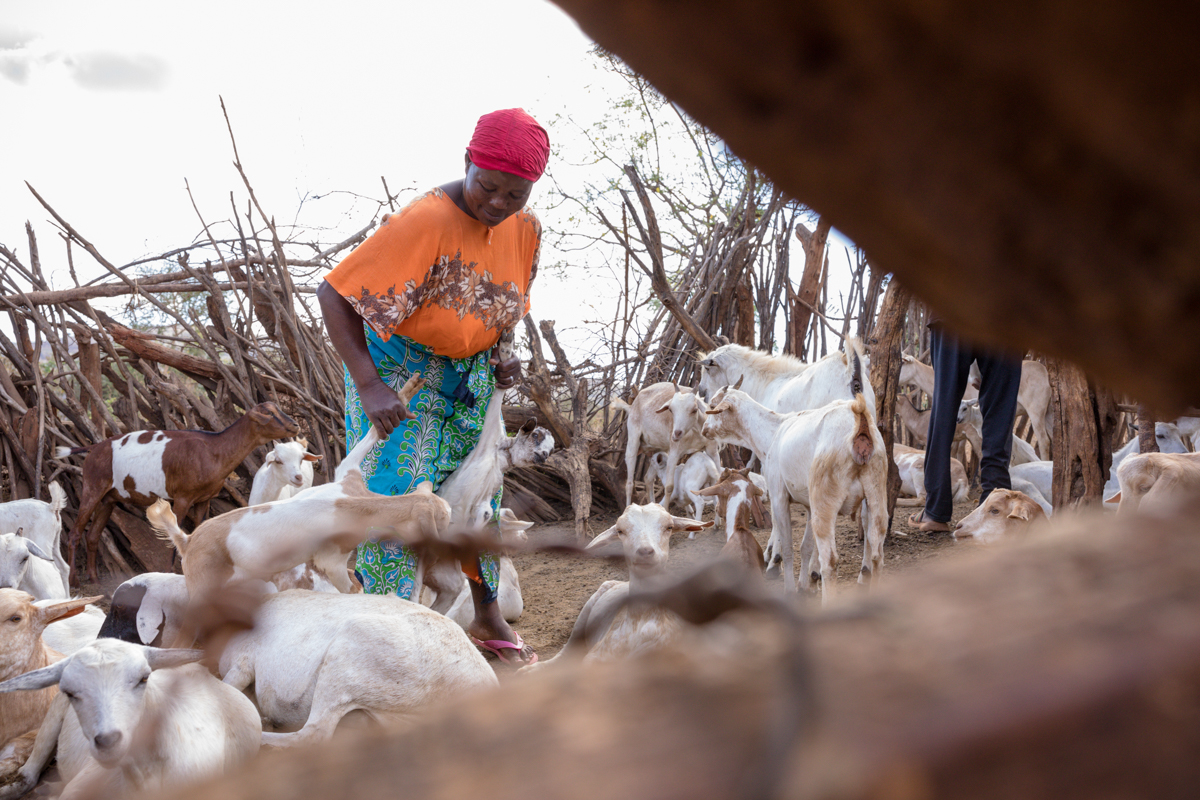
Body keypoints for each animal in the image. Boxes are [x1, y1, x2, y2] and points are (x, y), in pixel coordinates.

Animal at [56, 400, 302, 582]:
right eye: (270, 413)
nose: (295, 425)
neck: (214, 450)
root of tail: (94, 447)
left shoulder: (205, 499)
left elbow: (200, 530)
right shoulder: (183, 498)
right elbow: (175, 538)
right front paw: (169, 572)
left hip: (109, 498)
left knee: (93, 535)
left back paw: (94, 578)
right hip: (92, 487)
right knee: (75, 532)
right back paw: (73, 580)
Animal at [528, 506, 710, 671]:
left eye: (669, 527)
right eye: (620, 531)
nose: (645, 551)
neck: (640, 624)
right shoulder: (595, 656)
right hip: (586, 611)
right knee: (566, 651)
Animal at [700, 381, 888, 599]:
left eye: (713, 405)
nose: (704, 430)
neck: (772, 432)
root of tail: (859, 422)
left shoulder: (778, 495)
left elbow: (787, 544)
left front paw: (786, 583)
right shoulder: (809, 505)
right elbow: (806, 546)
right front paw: (805, 584)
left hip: (825, 498)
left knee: (830, 561)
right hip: (875, 493)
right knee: (877, 554)